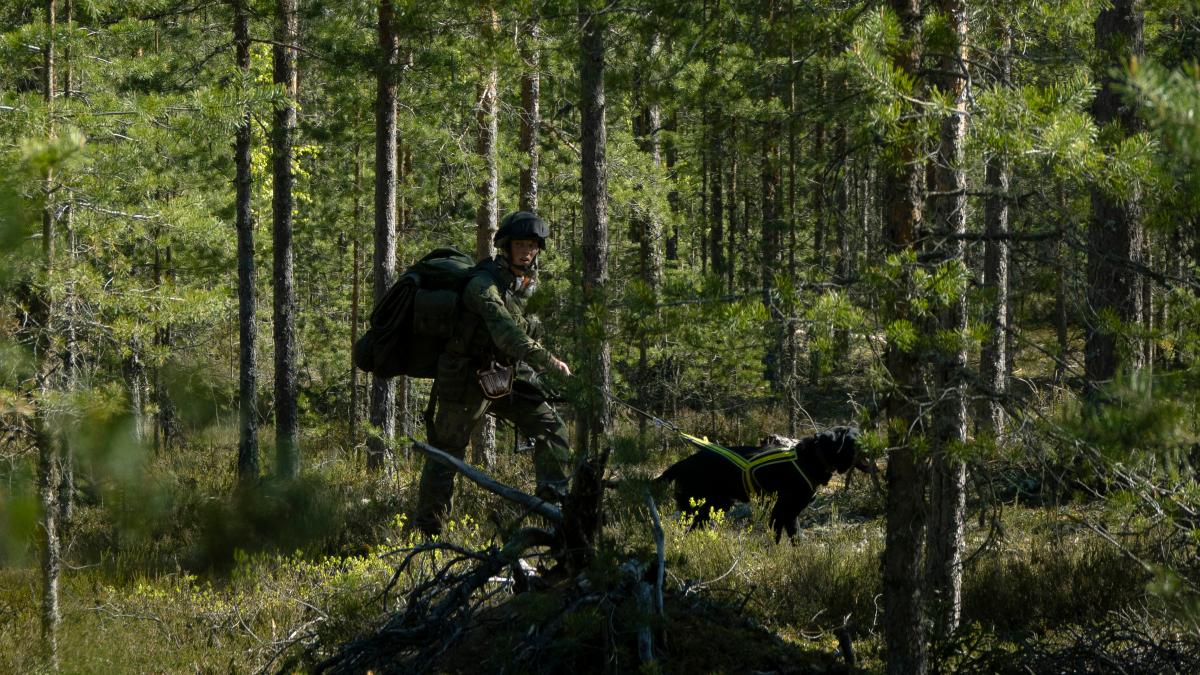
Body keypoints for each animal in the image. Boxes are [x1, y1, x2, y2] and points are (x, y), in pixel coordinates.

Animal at [662, 425, 868, 540]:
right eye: (856, 439)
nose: (874, 445)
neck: (812, 458)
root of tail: (681, 463)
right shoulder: (781, 512)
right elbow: (774, 540)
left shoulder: (791, 514)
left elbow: (797, 539)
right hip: (696, 506)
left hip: (717, 505)